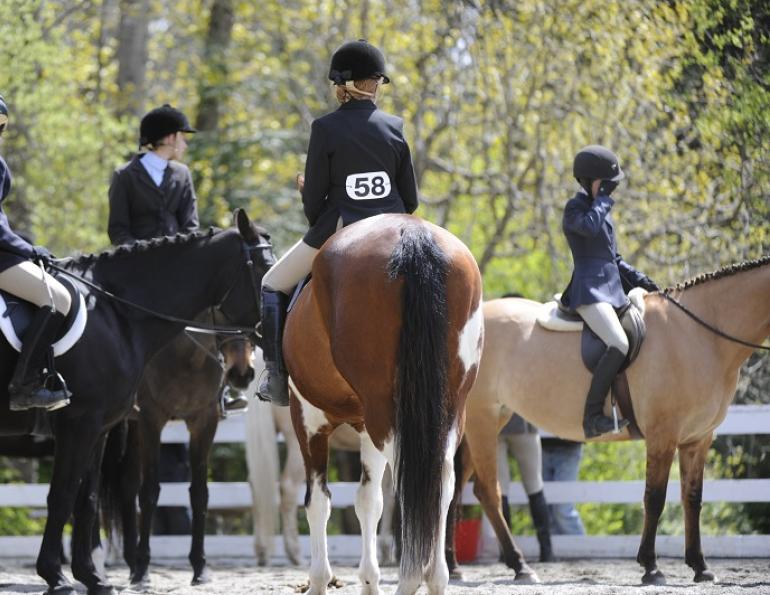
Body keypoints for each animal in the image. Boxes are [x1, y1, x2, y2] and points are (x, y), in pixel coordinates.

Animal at [99, 309, 257, 586]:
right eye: (222, 312)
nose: (241, 373)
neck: (188, 357)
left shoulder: (204, 422)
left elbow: (199, 494)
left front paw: (200, 568)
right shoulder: (151, 419)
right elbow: (150, 493)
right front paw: (143, 570)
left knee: (127, 487)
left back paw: (130, 562)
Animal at [283, 213, 507, 594]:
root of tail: (412, 234)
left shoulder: (308, 419)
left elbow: (319, 503)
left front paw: (319, 581)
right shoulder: (365, 426)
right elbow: (367, 501)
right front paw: (369, 581)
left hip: (385, 418)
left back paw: (411, 577)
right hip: (443, 413)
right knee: (441, 481)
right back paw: (435, 577)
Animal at [451, 255, 770, 585]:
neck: (701, 335)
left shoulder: (698, 439)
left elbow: (692, 499)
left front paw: (700, 567)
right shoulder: (663, 435)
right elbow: (655, 498)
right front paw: (651, 567)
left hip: (487, 422)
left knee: (458, 487)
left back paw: (455, 568)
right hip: (482, 420)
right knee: (488, 491)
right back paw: (520, 566)